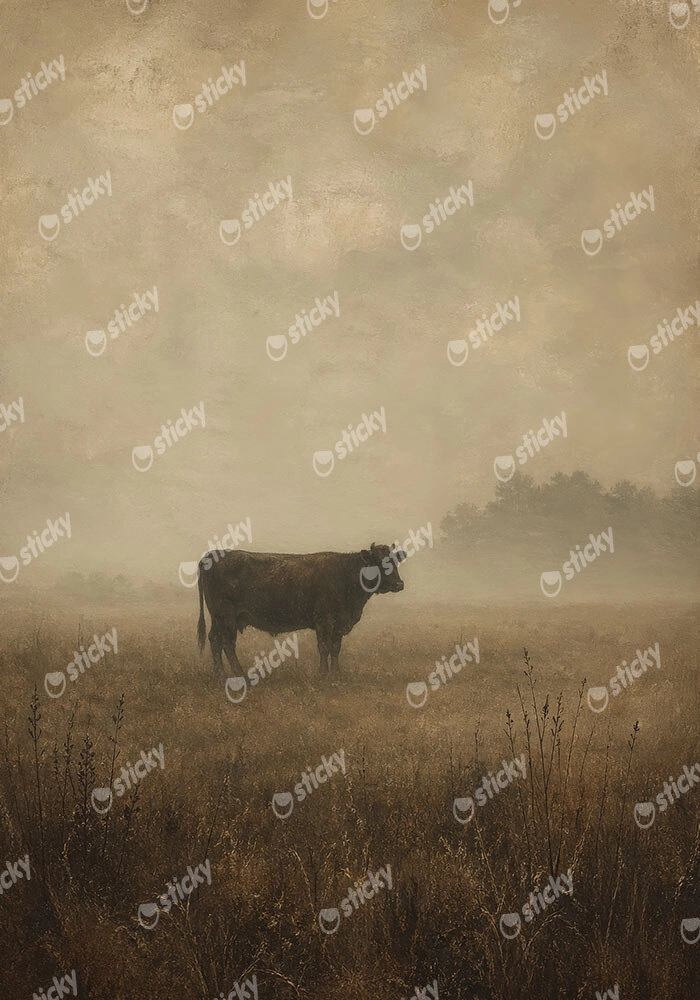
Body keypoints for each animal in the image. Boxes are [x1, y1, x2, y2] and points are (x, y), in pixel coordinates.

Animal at [196, 542, 406, 674]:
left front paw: (336, 674)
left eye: (395, 562)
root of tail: (212, 555)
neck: (346, 574)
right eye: (378, 562)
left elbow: (335, 648)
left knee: (214, 640)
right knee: (227, 644)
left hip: (218, 618)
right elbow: (324, 647)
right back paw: (239, 674)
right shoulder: (324, 621)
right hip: (227, 617)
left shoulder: (339, 623)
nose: (399, 584)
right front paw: (323, 674)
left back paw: (220, 674)